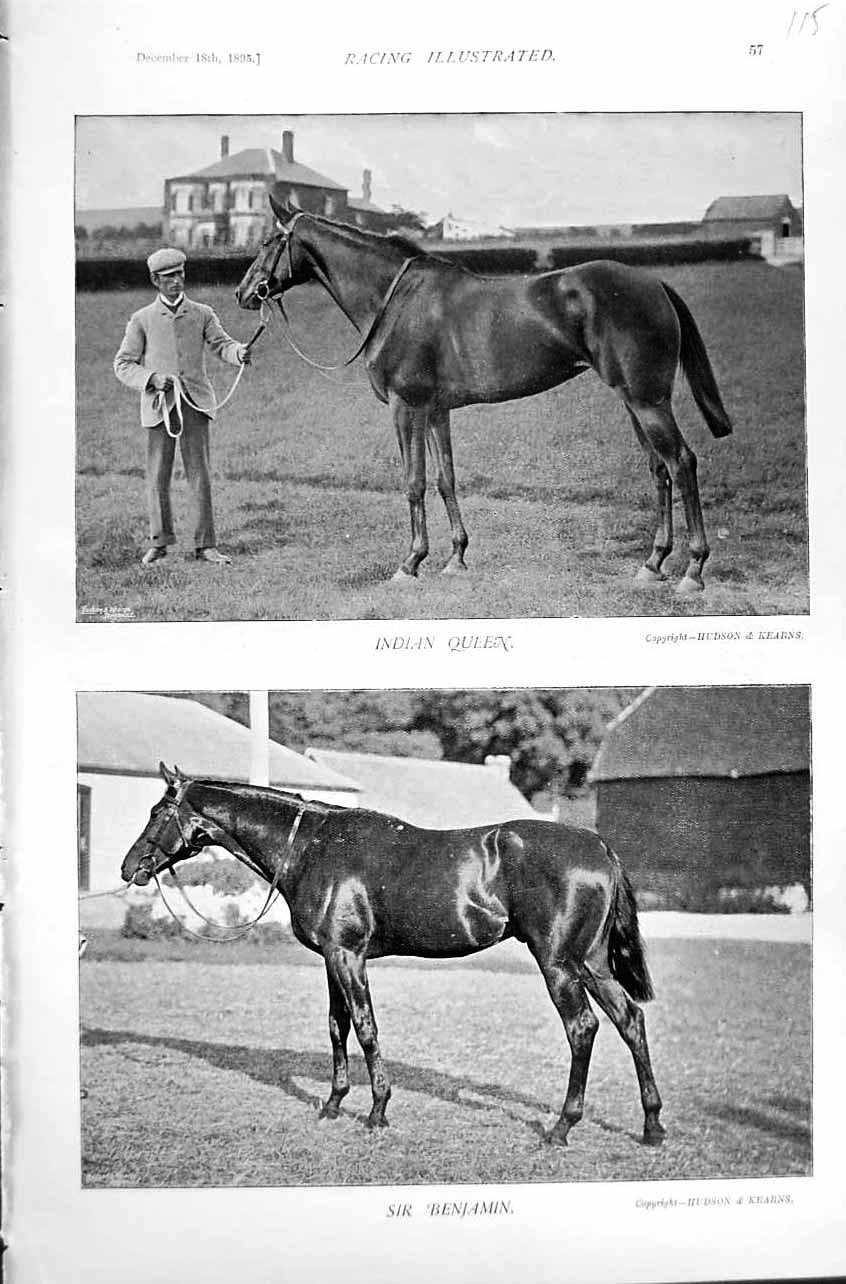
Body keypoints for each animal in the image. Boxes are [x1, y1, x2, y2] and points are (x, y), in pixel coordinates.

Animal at [121, 764, 665, 1148]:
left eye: (156, 812)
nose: (130, 868)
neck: (313, 846)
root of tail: (598, 845)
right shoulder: (331, 958)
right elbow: (337, 1026)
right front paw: (333, 1104)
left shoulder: (347, 955)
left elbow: (365, 1027)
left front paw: (377, 1111)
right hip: (591, 962)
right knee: (630, 1021)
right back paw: (652, 1126)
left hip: (558, 963)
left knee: (583, 1029)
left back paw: (562, 1128)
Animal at [236, 191, 733, 596]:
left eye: (267, 241)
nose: (243, 293)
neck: (394, 301)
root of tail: (654, 284)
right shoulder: (435, 411)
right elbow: (445, 480)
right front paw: (455, 557)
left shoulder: (405, 406)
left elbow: (413, 482)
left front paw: (410, 563)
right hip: (635, 401)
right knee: (659, 469)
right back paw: (653, 563)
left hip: (647, 402)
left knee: (681, 462)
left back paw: (693, 570)